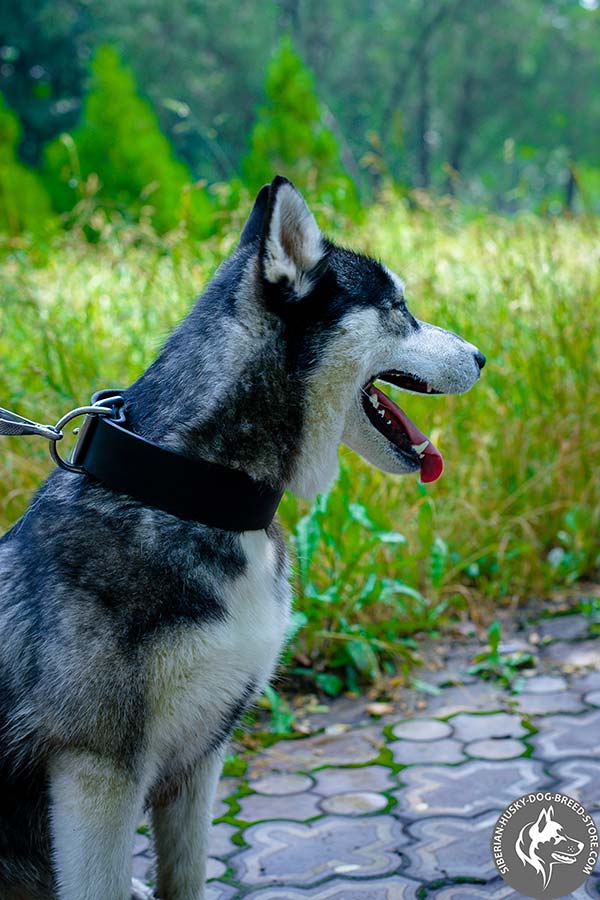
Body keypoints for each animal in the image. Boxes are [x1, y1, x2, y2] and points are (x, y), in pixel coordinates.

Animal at [0, 176, 486, 900]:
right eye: (399, 308)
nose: (483, 357)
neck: (194, 491)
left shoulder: (200, 759)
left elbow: (186, 880)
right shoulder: (97, 777)